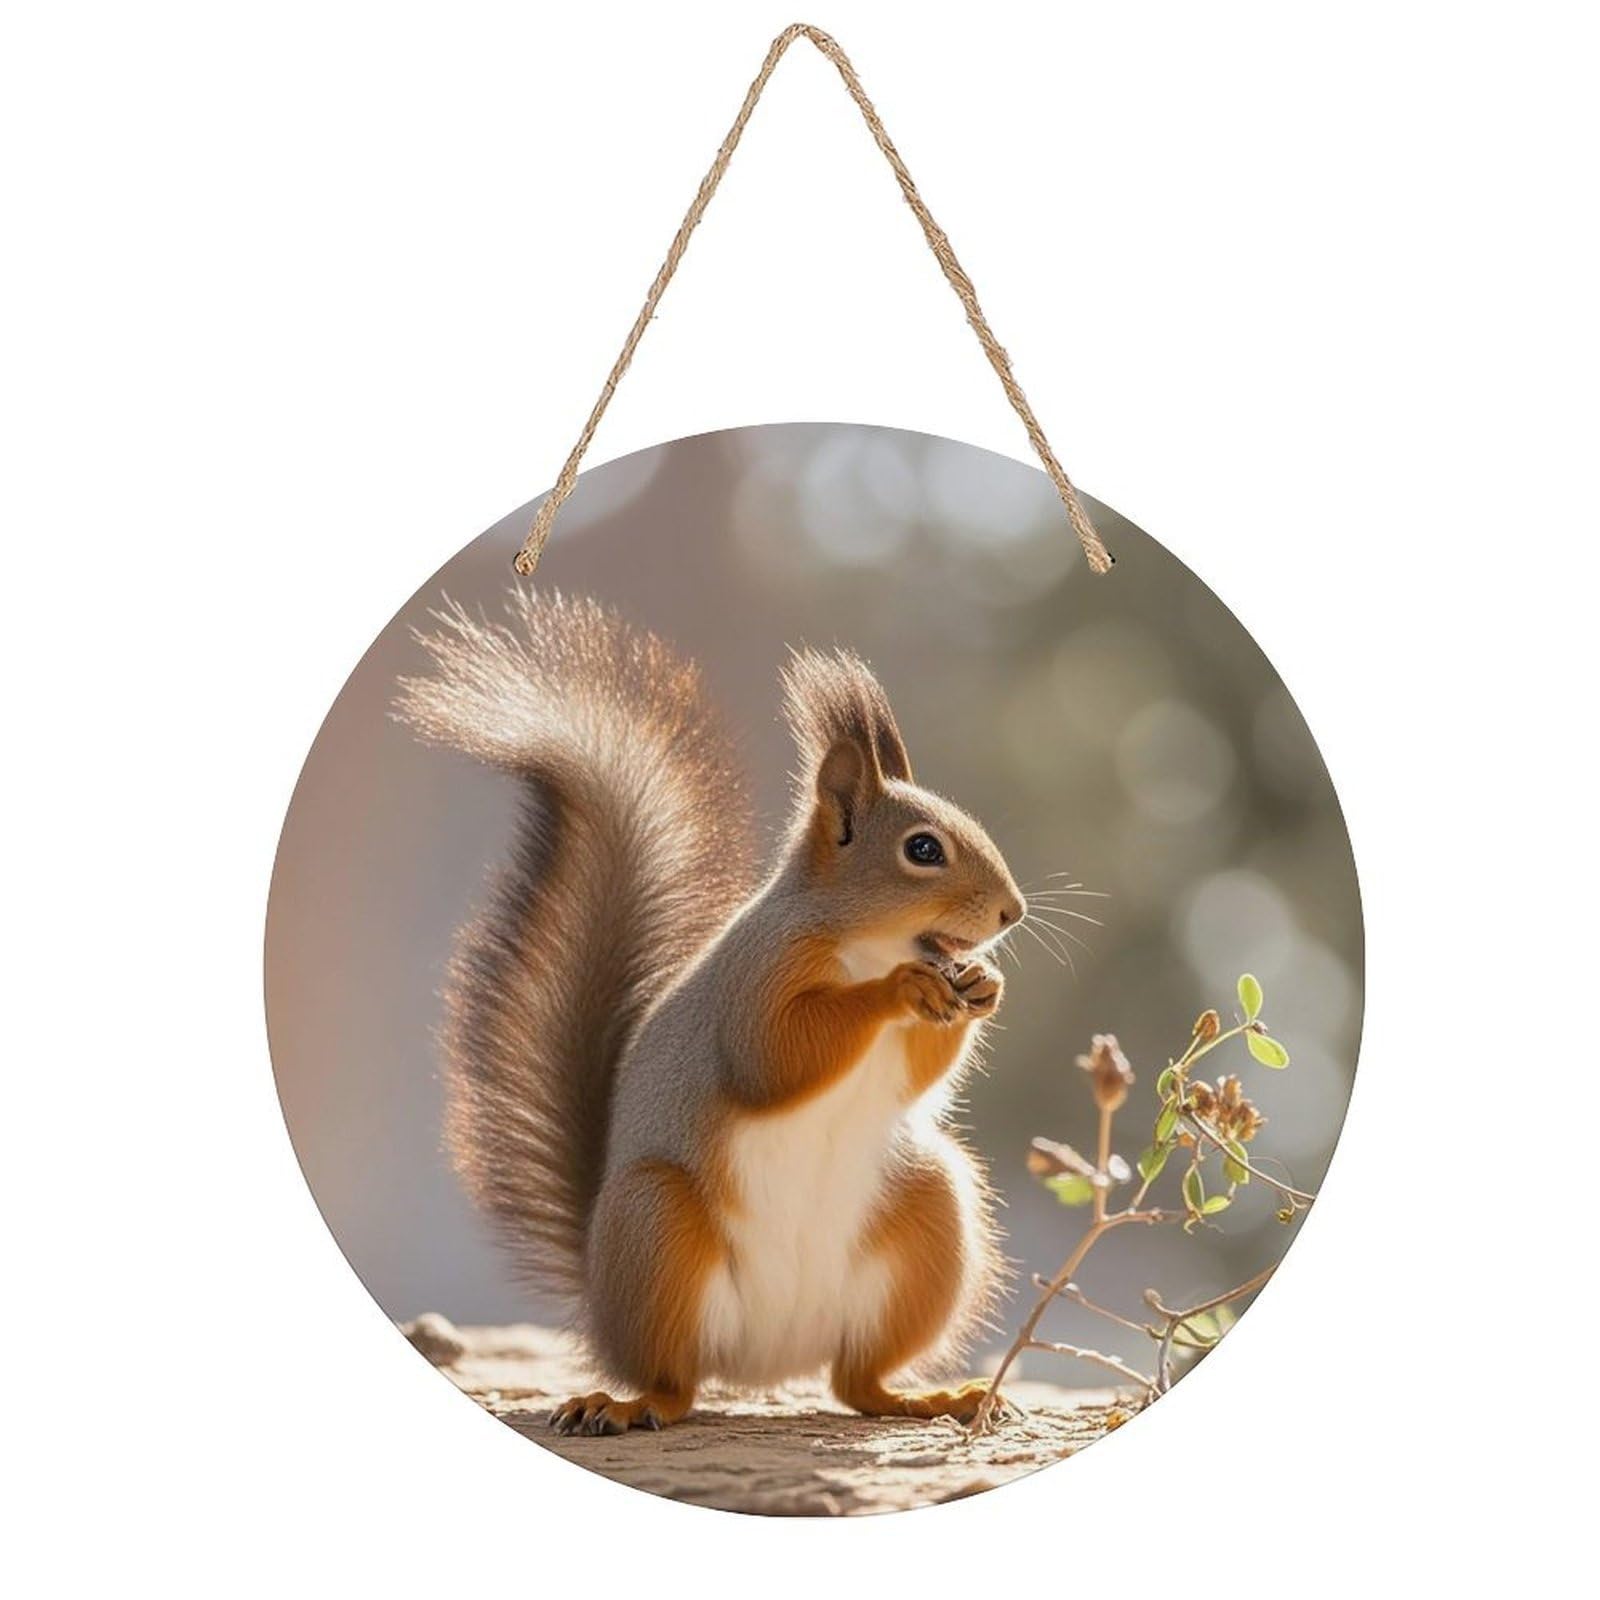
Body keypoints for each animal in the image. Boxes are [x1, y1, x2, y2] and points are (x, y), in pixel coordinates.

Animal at [397, 589, 1027, 1434]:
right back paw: (624, 1402)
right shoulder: (756, 980)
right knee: (676, 1382)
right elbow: (776, 1058)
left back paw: (928, 1396)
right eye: (923, 849)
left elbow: (915, 1076)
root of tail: (768, 1362)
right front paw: (899, 991)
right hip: (659, 1225)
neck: (865, 944)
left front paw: (982, 987)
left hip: (931, 1213)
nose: (1012, 912)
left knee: (856, 1382)